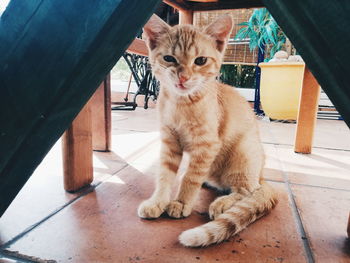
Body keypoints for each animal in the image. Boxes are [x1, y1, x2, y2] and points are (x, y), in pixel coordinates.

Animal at [138, 14, 278, 249]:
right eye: (169, 58)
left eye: (200, 61)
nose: (183, 77)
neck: (181, 104)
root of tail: (260, 174)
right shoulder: (169, 142)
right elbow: (164, 175)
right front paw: (157, 201)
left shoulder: (207, 145)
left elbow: (190, 177)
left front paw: (181, 202)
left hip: (243, 153)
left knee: (248, 190)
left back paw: (223, 203)